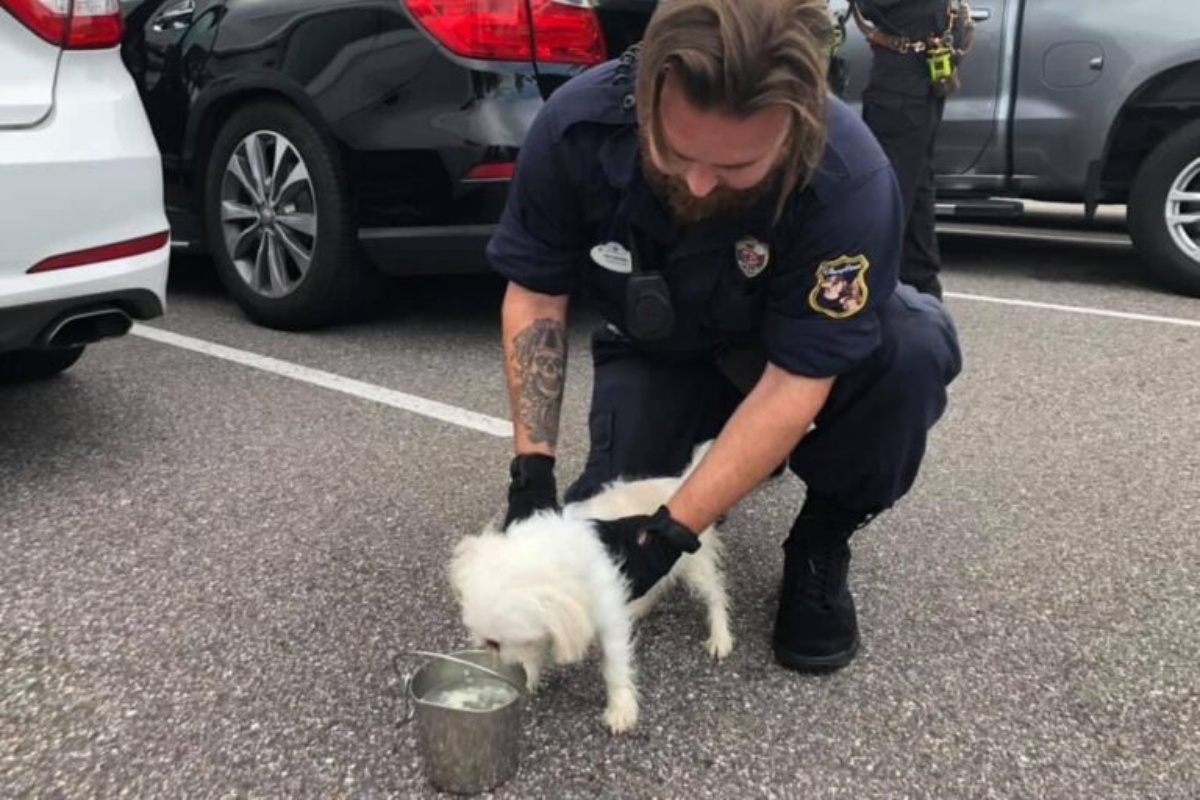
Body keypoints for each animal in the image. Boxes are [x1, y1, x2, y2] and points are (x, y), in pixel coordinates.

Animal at [451, 441, 729, 734]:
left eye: (499, 643)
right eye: (489, 643)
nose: (509, 672)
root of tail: (679, 482)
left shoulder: (609, 621)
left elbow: (615, 668)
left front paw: (621, 710)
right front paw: (533, 678)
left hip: (696, 567)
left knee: (716, 595)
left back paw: (721, 637)